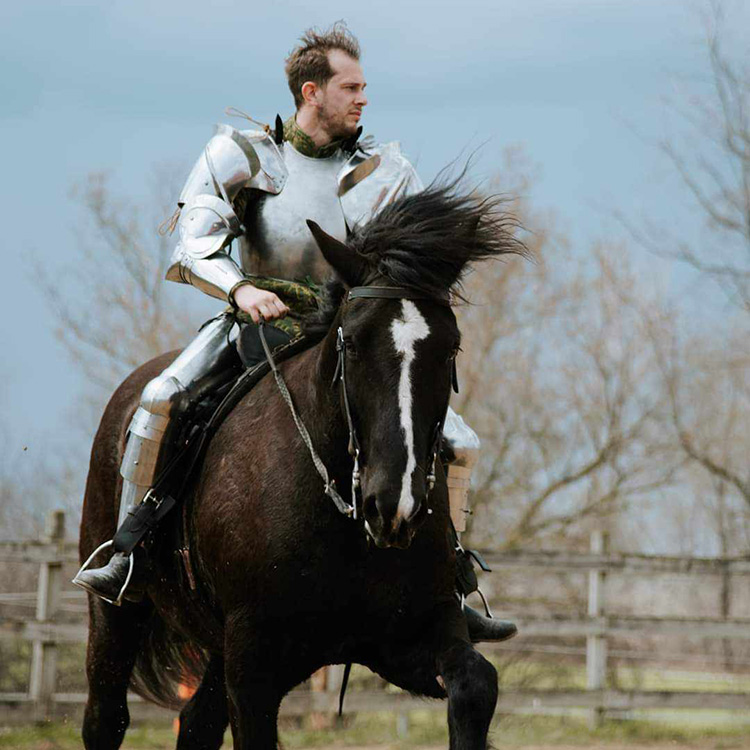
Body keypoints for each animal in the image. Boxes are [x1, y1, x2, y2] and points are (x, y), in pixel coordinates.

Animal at [78, 182, 524, 750]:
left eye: (450, 349)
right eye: (352, 343)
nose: (394, 506)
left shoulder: (413, 635)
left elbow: (476, 684)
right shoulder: (253, 665)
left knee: (196, 722)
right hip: (118, 617)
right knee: (106, 716)